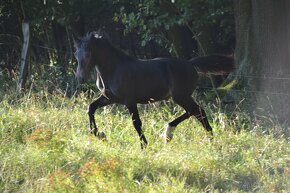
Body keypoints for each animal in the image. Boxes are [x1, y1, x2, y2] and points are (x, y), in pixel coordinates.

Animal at [73, 32, 234, 149]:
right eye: (76, 54)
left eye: (88, 53)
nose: (80, 78)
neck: (114, 70)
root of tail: (190, 64)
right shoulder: (109, 98)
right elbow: (91, 108)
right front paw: (98, 134)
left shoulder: (129, 101)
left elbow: (136, 123)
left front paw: (144, 146)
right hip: (181, 97)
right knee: (195, 111)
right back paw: (173, 134)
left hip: (180, 96)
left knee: (198, 111)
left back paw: (205, 139)